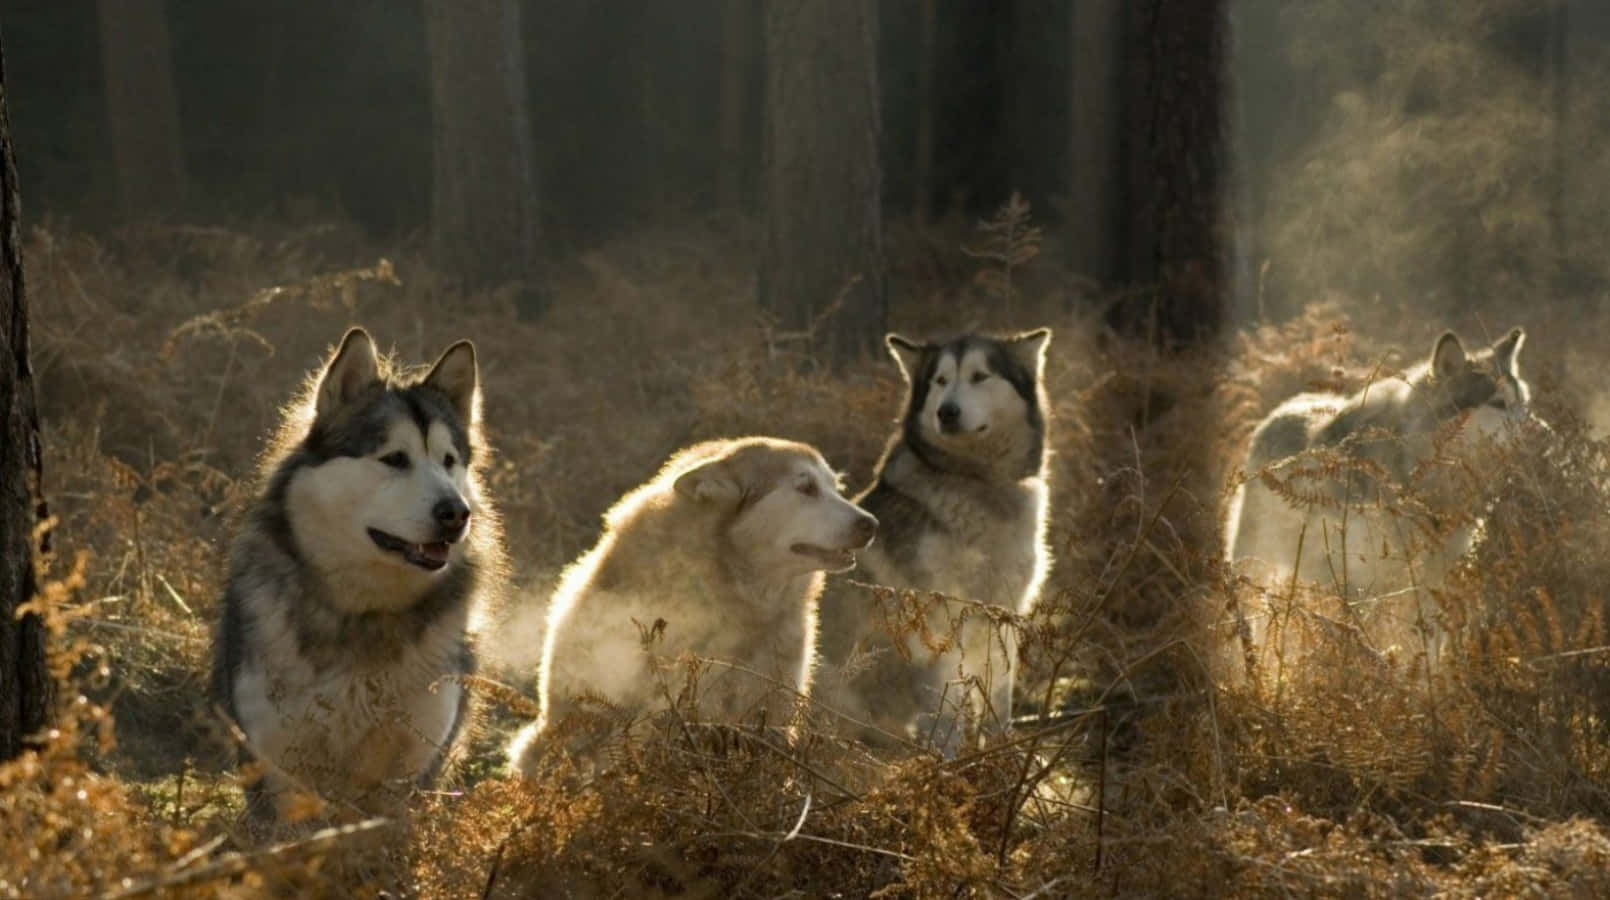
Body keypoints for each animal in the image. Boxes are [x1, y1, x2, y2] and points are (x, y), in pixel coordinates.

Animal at [210, 327, 504, 817]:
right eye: (395, 458)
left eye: (449, 461)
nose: (456, 514)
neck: (362, 615)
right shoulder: (279, 770)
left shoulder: (409, 774)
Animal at [815, 328, 1053, 754]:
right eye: (940, 381)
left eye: (979, 376)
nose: (947, 412)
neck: (975, 481)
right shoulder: (937, 623)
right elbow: (945, 714)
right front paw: (949, 761)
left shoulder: (1002, 616)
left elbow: (999, 701)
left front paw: (1002, 757)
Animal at [1224, 327, 1533, 652]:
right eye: (1499, 404)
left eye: (1523, 404)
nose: (1544, 431)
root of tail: (1282, 409)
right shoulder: (1365, 587)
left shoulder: (1432, 585)